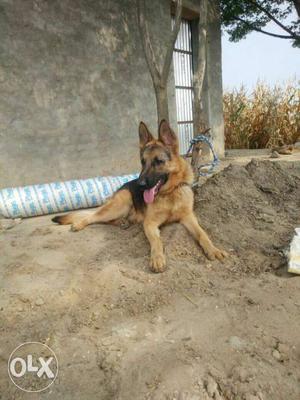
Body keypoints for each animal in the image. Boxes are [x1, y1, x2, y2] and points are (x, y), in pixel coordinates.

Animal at [52, 120, 227, 274]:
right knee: (93, 216)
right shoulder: (149, 223)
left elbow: (202, 234)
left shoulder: (188, 217)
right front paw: (157, 259)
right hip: (121, 204)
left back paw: (122, 222)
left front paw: (213, 249)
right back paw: (79, 224)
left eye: (158, 161)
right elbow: (157, 241)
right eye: (143, 162)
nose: (140, 184)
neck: (170, 193)